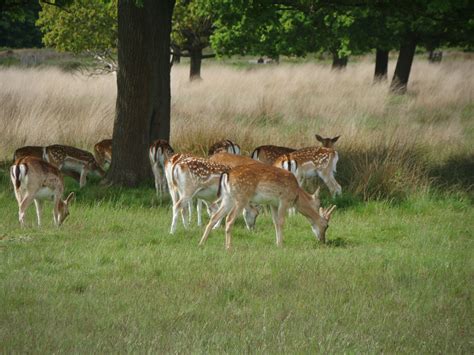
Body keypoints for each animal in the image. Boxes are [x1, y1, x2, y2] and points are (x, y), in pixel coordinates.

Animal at [198, 164, 336, 250]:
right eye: (326, 225)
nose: (323, 241)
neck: (296, 195)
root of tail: (227, 174)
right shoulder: (284, 199)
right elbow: (281, 222)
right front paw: (281, 245)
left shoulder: (273, 203)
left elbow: (275, 222)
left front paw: (277, 243)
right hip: (241, 197)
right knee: (229, 219)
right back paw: (229, 247)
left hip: (228, 198)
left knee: (214, 217)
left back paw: (201, 243)